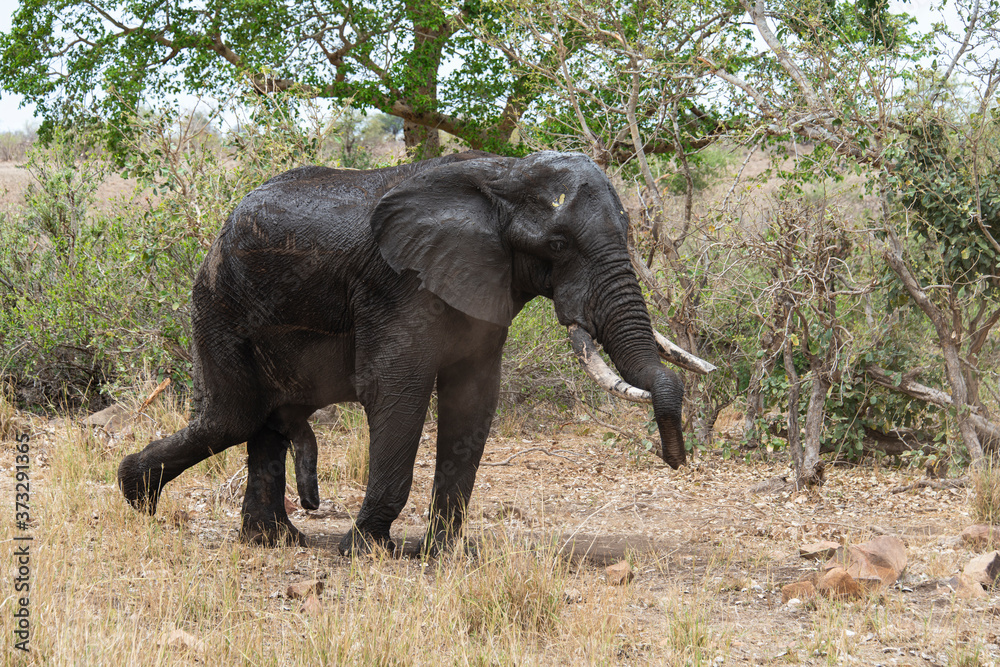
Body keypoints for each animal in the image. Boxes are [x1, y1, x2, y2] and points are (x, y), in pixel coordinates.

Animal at [118, 150, 713, 554]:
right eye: (558, 245)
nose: (674, 456)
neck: (503, 176)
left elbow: (473, 400)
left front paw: (442, 553)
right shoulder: (396, 287)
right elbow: (397, 391)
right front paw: (365, 550)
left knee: (264, 421)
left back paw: (274, 540)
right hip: (217, 306)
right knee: (235, 416)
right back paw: (136, 495)